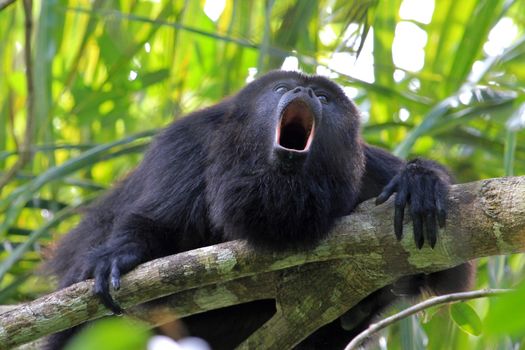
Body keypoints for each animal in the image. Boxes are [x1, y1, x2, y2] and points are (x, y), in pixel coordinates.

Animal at [48, 69, 474, 348]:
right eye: (283, 88)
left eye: (323, 98)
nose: (303, 90)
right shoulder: (186, 144)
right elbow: (154, 222)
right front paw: (120, 255)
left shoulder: (368, 170)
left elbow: (449, 270)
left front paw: (419, 182)